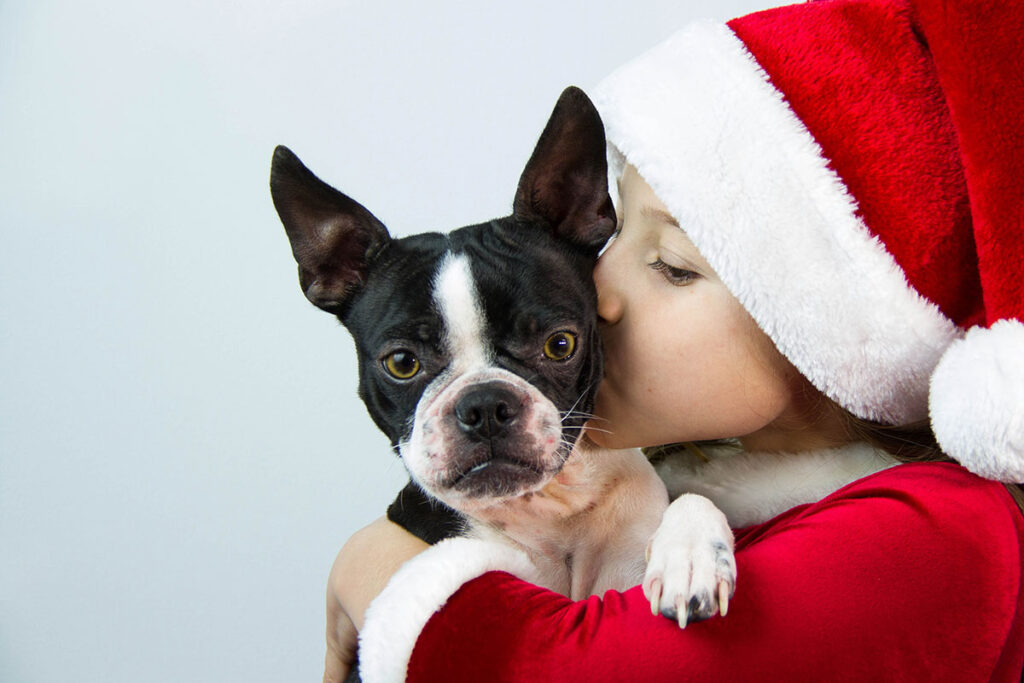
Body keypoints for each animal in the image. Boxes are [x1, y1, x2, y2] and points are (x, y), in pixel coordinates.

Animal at [270, 89, 737, 618]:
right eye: (402, 363)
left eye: (560, 344)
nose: (485, 405)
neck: (549, 510)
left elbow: (692, 498)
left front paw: (691, 556)